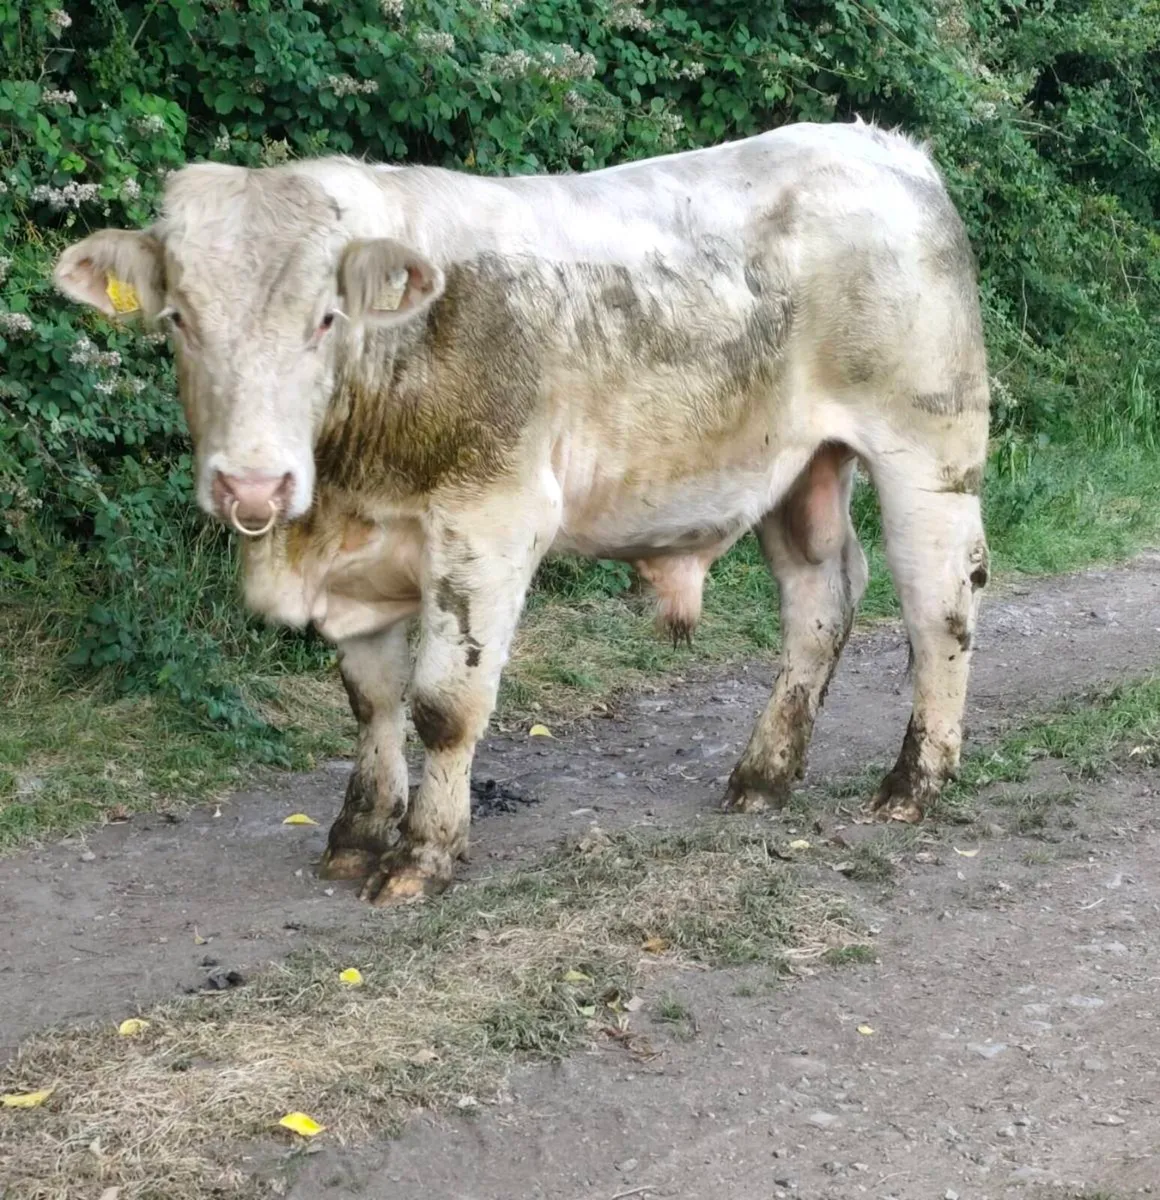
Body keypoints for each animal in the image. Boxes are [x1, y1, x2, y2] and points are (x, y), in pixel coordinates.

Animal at [54, 119, 990, 905]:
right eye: (179, 319)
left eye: (326, 318)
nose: (254, 485)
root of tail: (884, 146)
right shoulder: (362, 558)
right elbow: (371, 700)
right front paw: (358, 831)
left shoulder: (491, 523)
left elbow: (442, 705)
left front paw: (423, 853)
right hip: (798, 469)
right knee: (820, 603)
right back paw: (763, 777)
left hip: (928, 448)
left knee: (939, 604)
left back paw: (913, 782)